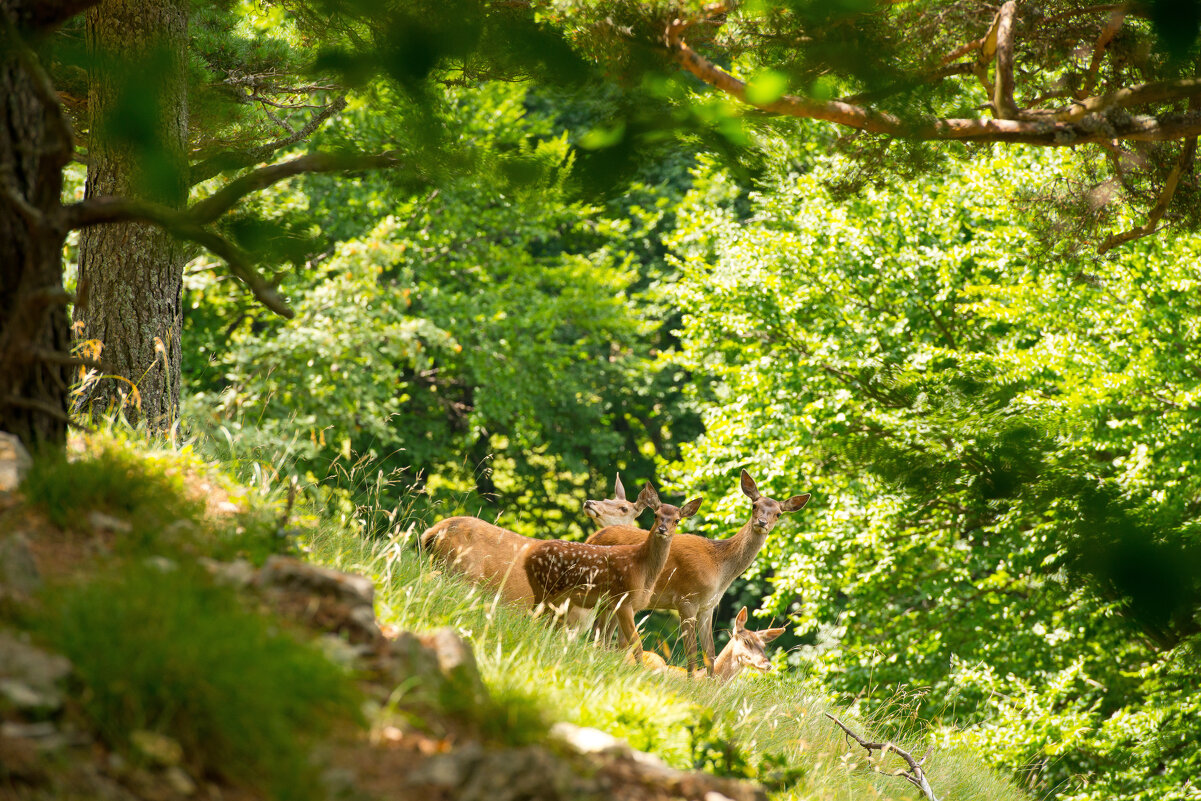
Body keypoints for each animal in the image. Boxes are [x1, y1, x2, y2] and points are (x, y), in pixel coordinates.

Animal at [526, 482, 701, 662]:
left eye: (677, 520)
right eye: (656, 515)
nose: (662, 529)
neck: (643, 568)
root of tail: (529, 555)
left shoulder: (618, 605)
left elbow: (611, 640)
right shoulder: (623, 601)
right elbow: (635, 645)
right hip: (548, 591)